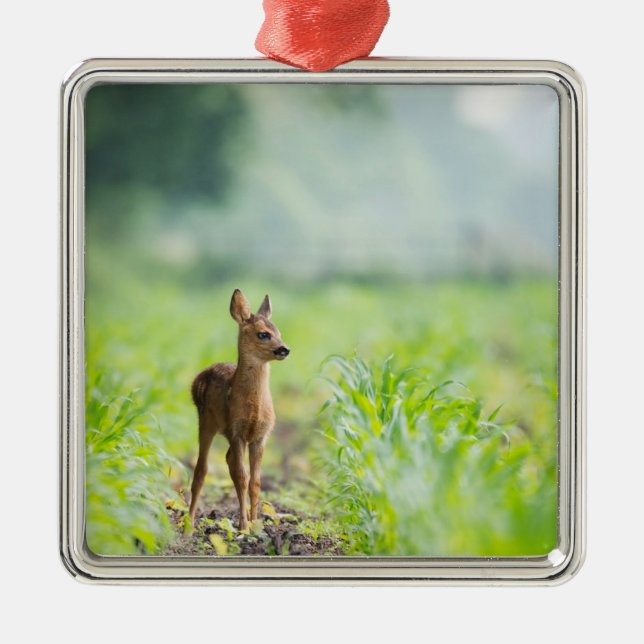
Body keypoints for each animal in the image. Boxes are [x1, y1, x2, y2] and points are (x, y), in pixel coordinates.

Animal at [188, 289, 290, 531]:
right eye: (263, 334)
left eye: (278, 332)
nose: (284, 349)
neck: (254, 409)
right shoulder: (237, 431)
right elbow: (242, 478)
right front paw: (244, 526)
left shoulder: (261, 436)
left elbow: (255, 481)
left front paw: (256, 524)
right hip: (206, 422)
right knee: (201, 470)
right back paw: (188, 525)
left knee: (227, 462)